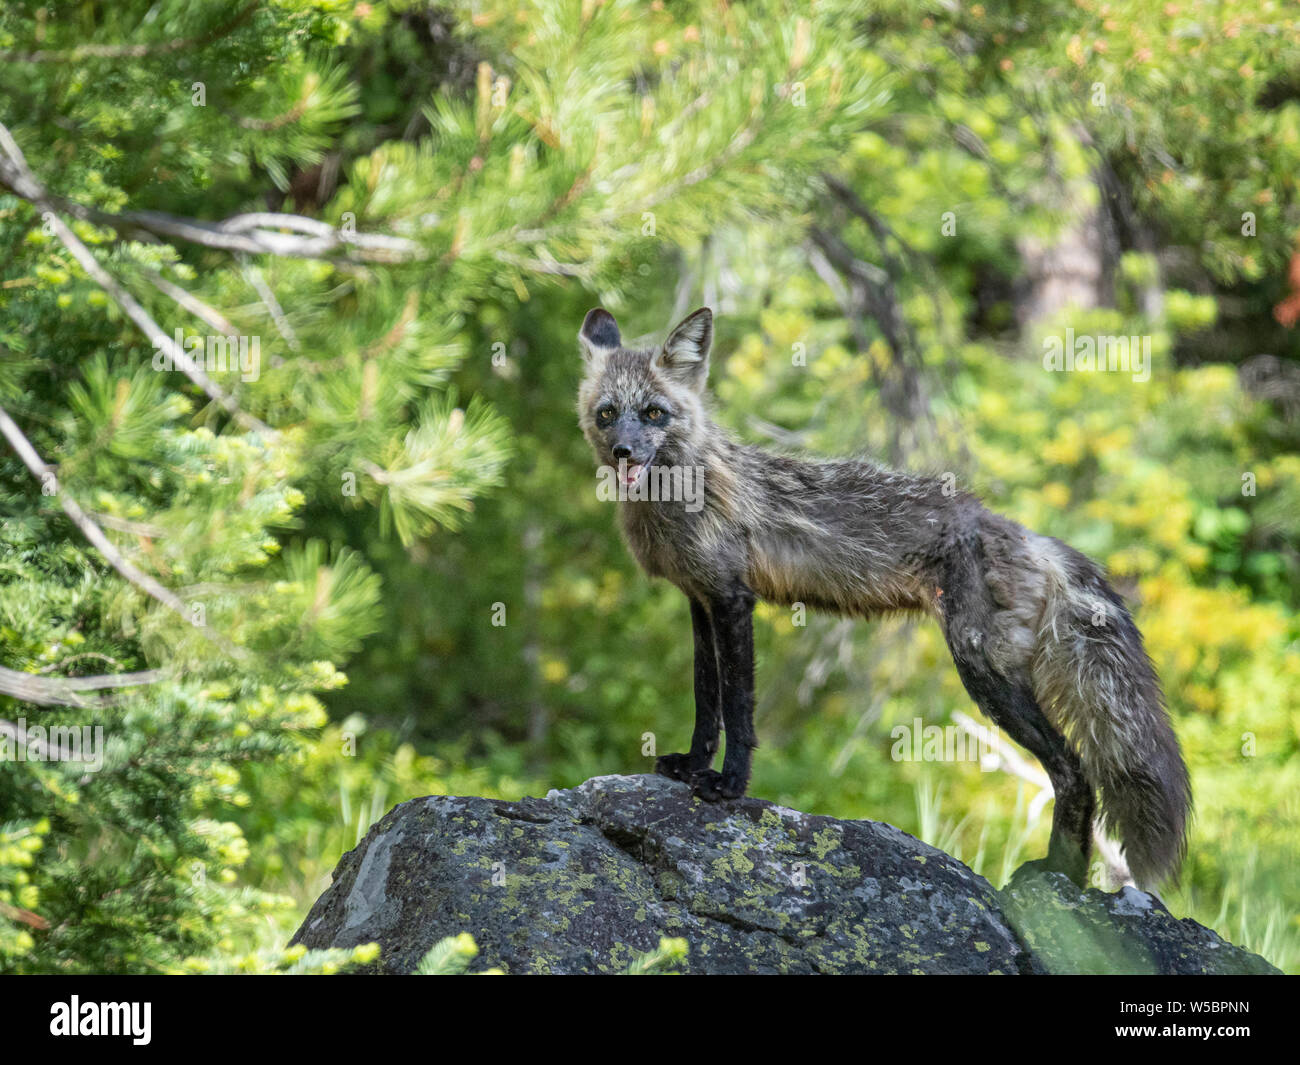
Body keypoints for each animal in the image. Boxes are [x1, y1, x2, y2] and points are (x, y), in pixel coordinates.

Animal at [585, 304, 1190, 889]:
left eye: (655, 413)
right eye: (607, 413)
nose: (623, 452)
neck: (682, 497)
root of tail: (1027, 534)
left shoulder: (734, 599)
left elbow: (737, 707)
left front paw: (730, 785)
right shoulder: (699, 599)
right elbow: (705, 700)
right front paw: (691, 765)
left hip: (983, 671)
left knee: (1076, 770)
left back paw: (1061, 878)